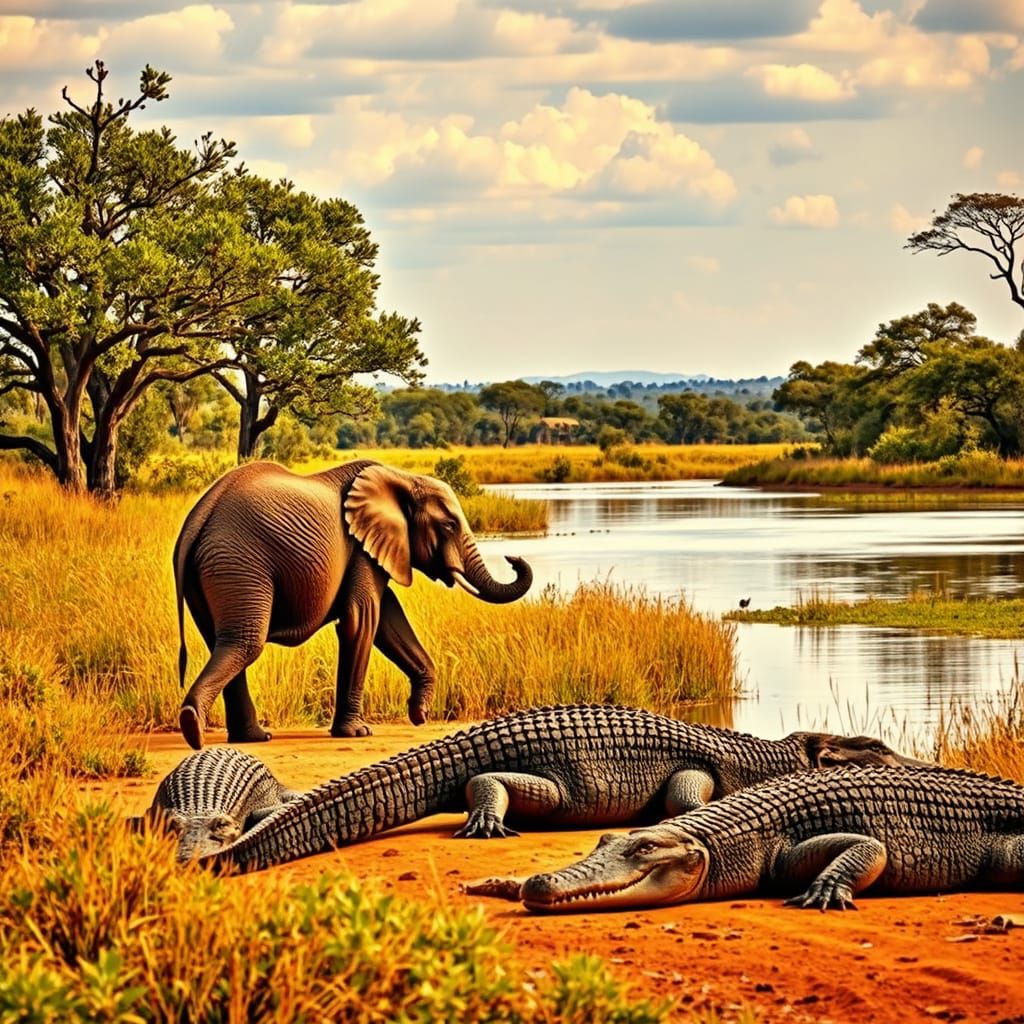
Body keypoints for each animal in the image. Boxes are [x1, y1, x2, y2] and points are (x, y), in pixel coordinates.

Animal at [173, 459, 533, 750]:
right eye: (449, 525)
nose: (513, 558)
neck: (402, 478)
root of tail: (198, 517)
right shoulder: (361, 547)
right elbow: (362, 621)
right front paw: (358, 733)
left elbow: (389, 620)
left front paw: (419, 711)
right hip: (239, 564)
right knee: (245, 644)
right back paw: (196, 728)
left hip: (211, 570)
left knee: (222, 642)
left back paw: (248, 737)